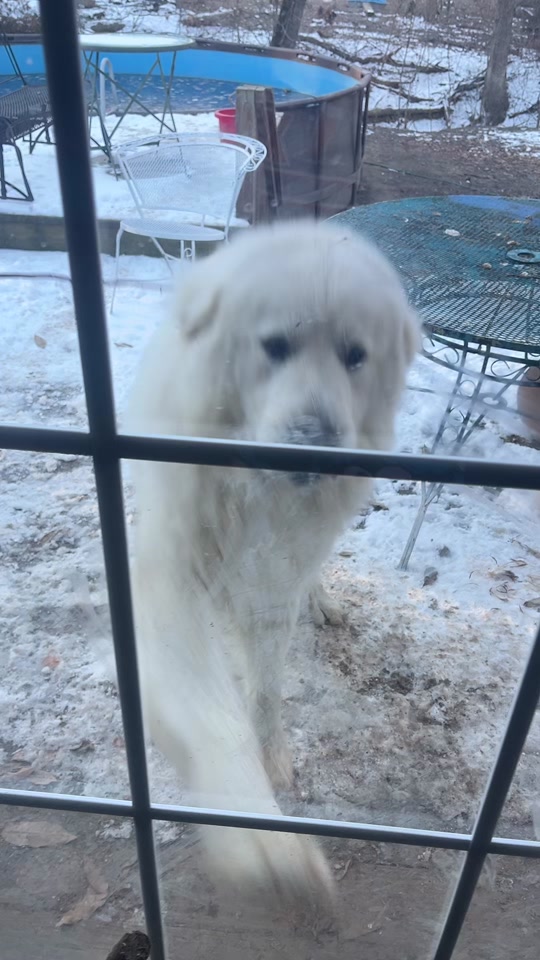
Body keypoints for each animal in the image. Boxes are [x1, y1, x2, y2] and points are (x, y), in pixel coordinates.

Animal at [126, 220, 419, 903]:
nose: (315, 441)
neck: (249, 488)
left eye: (355, 355)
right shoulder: (172, 581)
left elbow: (263, 693)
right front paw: (259, 840)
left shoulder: (270, 588)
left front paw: (273, 761)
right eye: (275, 346)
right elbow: (212, 713)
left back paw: (324, 601)